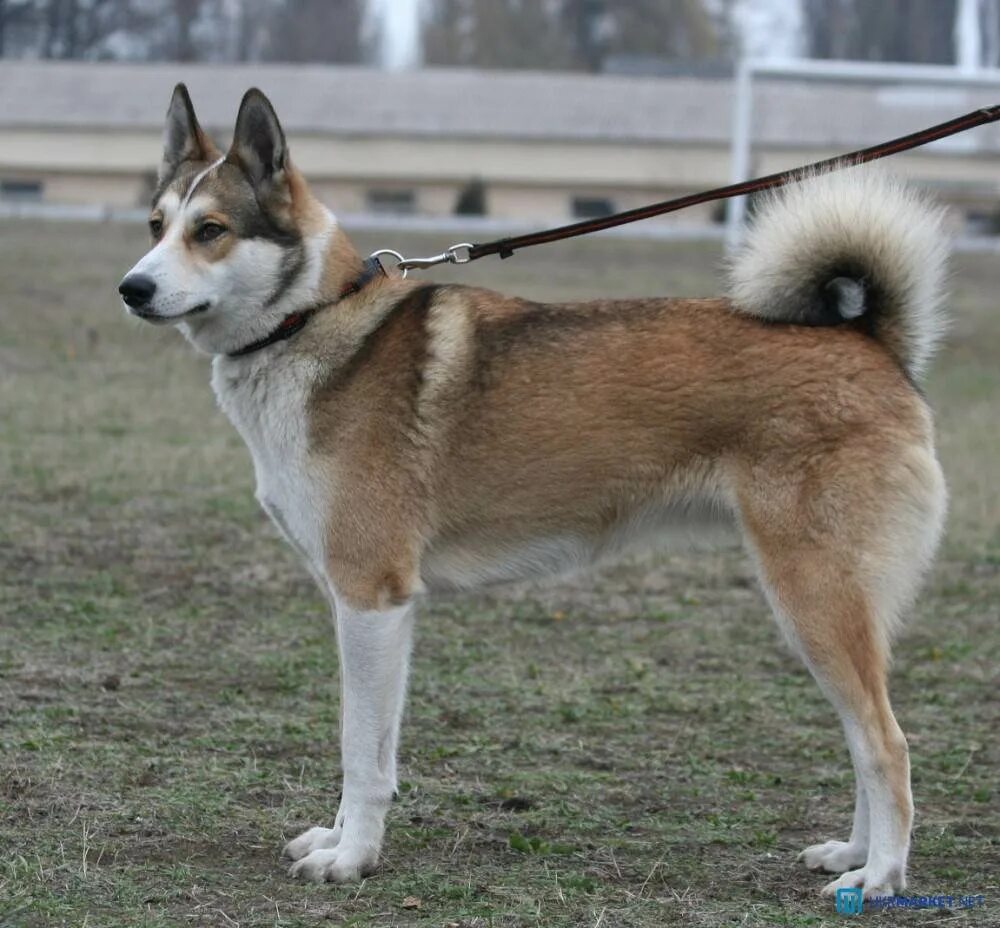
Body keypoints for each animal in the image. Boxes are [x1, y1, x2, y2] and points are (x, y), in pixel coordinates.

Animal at [121, 87, 948, 900]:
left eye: (212, 230)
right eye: (157, 225)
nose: (132, 288)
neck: (309, 323)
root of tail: (872, 343)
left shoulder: (370, 598)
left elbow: (359, 752)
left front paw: (350, 860)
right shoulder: (378, 612)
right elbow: (377, 749)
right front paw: (343, 839)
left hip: (813, 599)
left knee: (887, 744)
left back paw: (881, 876)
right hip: (829, 613)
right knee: (863, 739)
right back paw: (850, 855)